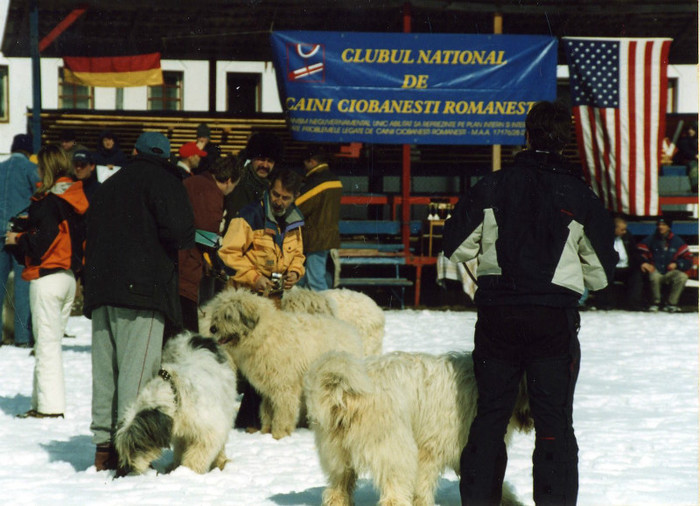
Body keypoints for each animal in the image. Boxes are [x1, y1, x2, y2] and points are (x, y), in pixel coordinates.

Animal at [113, 332, 237, 474]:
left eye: (136, 445)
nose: (128, 468)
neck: (177, 394)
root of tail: (196, 336)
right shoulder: (180, 433)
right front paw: (176, 467)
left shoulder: (209, 430)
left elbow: (198, 454)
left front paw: (188, 471)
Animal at [206, 288, 360, 438]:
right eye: (217, 314)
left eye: (228, 316)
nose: (212, 329)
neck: (265, 334)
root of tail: (349, 329)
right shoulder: (268, 387)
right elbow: (267, 410)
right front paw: (265, 432)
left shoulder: (284, 385)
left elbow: (283, 412)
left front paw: (279, 434)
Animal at [304, 350, 532, 506]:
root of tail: (343, 391)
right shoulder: (432, 448)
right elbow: (423, 486)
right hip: (393, 449)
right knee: (393, 495)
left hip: (338, 457)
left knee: (337, 490)